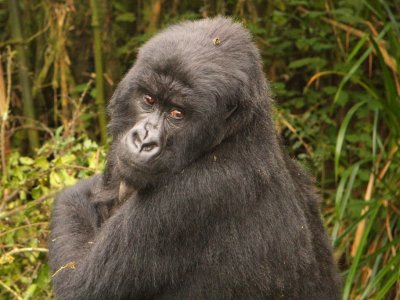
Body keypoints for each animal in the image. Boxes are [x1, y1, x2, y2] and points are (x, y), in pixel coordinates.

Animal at [47, 17, 340, 300]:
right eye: (149, 100)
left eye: (177, 114)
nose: (144, 141)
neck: (234, 136)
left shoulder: (191, 197)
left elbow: (77, 283)